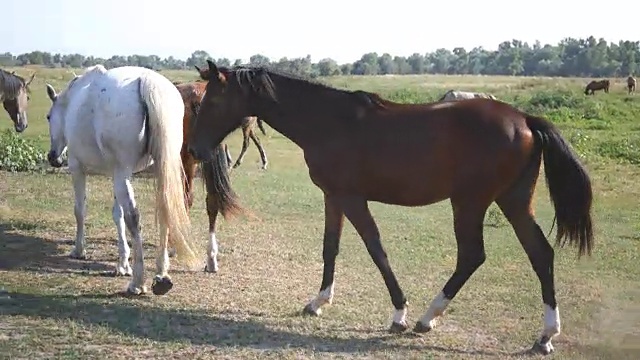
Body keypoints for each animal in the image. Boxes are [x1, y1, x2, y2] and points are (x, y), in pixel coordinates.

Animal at [43, 64, 228, 296]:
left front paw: (79, 249)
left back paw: (138, 282)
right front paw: (122, 262)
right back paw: (162, 273)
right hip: (162, 168)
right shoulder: (117, 173)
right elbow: (118, 214)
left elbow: (81, 210)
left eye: (48, 117)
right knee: (168, 208)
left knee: (134, 216)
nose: (53, 157)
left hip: (126, 173)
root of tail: (147, 82)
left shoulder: (79, 168)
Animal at [189, 59, 596, 354]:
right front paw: (318, 301)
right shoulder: (333, 196)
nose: (194, 149)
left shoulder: (353, 199)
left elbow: (376, 249)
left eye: (213, 100)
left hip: (470, 202)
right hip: (512, 200)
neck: (328, 121)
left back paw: (427, 318)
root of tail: (524, 119)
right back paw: (545, 335)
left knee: (472, 255)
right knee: (540, 253)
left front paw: (399, 311)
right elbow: (330, 247)